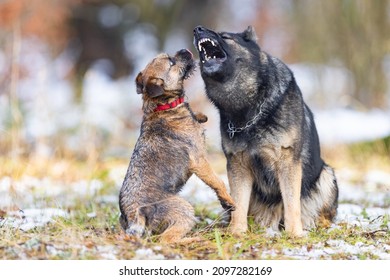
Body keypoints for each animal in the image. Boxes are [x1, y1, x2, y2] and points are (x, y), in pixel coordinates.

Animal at [119, 48, 235, 243]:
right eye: (171, 62)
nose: (185, 50)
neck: (164, 106)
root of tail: (133, 216)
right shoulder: (199, 160)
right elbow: (217, 181)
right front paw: (229, 200)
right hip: (184, 208)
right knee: (166, 240)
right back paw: (195, 239)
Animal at [195, 26, 338, 236]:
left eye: (225, 36)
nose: (197, 29)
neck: (251, 109)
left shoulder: (287, 163)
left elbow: (292, 204)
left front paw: (294, 234)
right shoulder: (238, 165)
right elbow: (239, 204)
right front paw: (237, 232)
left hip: (327, 176)